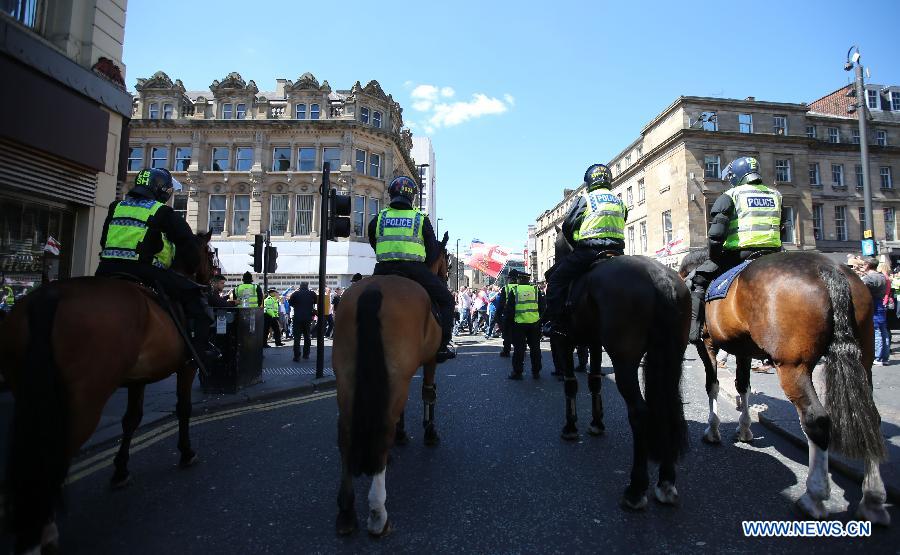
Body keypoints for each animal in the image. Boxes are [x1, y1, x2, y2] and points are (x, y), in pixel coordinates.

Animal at [0, 230, 215, 552]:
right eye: (210, 254)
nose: (211, 279)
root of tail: (50, 296)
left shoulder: (139, 376)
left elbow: (131, 419)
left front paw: (120, 470)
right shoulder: (186, 367)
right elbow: (183, 409)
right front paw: (187, 452)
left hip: (27, 389)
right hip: (84, 396)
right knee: (55, 452)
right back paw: (41, 531)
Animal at [334, 232, 450, 536]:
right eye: (446, 262)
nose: (447, 278)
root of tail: (373, 291)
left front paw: (403, 434)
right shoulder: (430, 359)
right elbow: (428, 393)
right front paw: (430, 433)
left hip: (348, 375)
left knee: (345, 434)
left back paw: (347, 511)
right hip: (395, 373)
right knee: (383, 426)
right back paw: (378, 513)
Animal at [552, 231, 692, 512]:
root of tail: (659, 276)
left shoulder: (564, 341)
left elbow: (571, 384)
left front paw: (570, 427)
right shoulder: (594, 343)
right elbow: (594, 381)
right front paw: (596, 423)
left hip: (624, 358)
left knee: (639, 412)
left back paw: (636, 489)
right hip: (670, 356)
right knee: (666, 408)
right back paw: (666, 482)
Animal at [680, 251, 888, 524]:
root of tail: (828, 267)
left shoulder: (707, 344)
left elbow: (712, 385)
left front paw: (713, 430)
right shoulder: (743, 349)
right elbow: (742, 386)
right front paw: (744, 429)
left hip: (792, 365)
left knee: (816, 419)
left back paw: (814, 496)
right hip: (863, 359)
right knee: (869, 418)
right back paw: (873, 498)